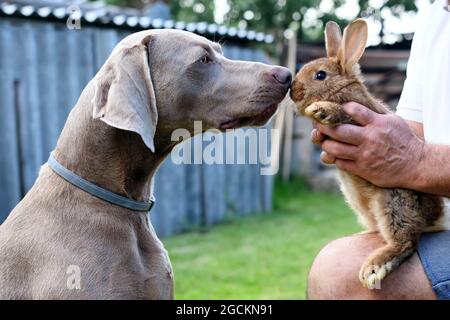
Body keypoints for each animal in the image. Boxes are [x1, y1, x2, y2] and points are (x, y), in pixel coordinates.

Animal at [290, 19, 444, 290]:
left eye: (320, 75)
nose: (292, 91)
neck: (341, 89)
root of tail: (435, 218)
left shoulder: (358, 115)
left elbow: (341, 113)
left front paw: (321, 109)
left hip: (394, 200)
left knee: (406, 241)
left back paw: (375, 267)